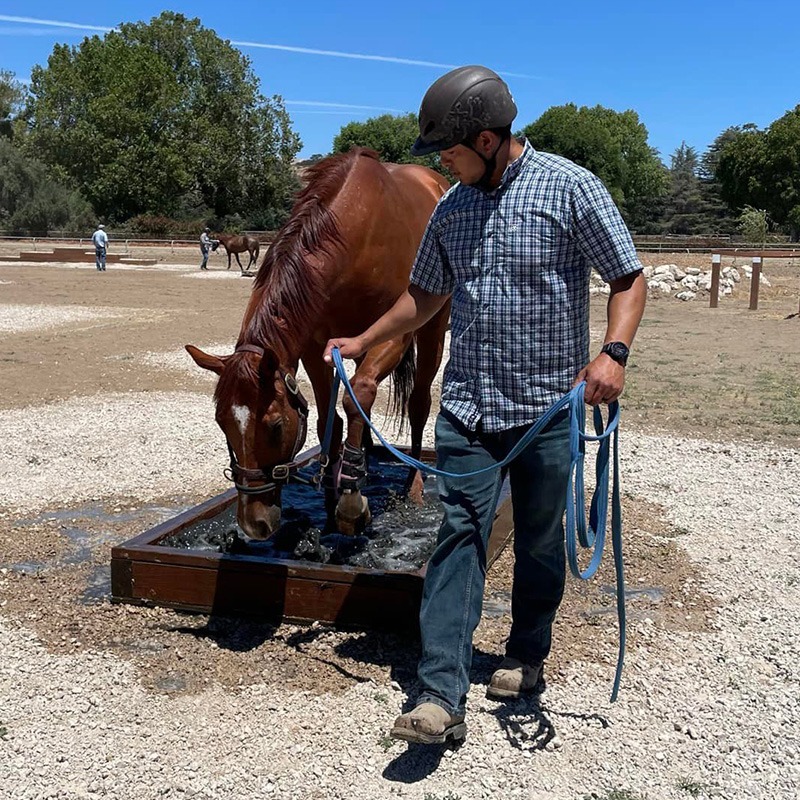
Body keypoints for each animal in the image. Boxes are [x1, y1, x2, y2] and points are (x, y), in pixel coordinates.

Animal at [187, 148, 450, 536]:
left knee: (417, 403)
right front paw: (330, 495)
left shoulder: (395, 335)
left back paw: (412, 483)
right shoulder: (315, 346)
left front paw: (352, 502)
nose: (254, 523)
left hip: (433, 328)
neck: (358, 232)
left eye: (275, 427)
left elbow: (358, 396)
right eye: (222, 423)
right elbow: (332, 416)